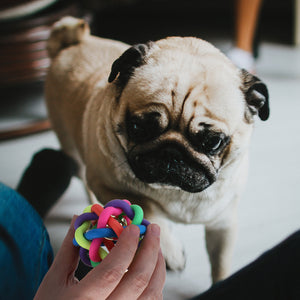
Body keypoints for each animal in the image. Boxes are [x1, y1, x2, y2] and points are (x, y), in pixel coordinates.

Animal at [46, 17, 270, 284]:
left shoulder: (222, 225)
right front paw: (171, 250)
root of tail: (72, 42)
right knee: (85, 179)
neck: (176, 195)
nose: (171, 152)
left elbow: (221, 266)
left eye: (213, 141)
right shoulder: (106, 185)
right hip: (75, 154)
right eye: (139, 127)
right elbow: (150, 210)